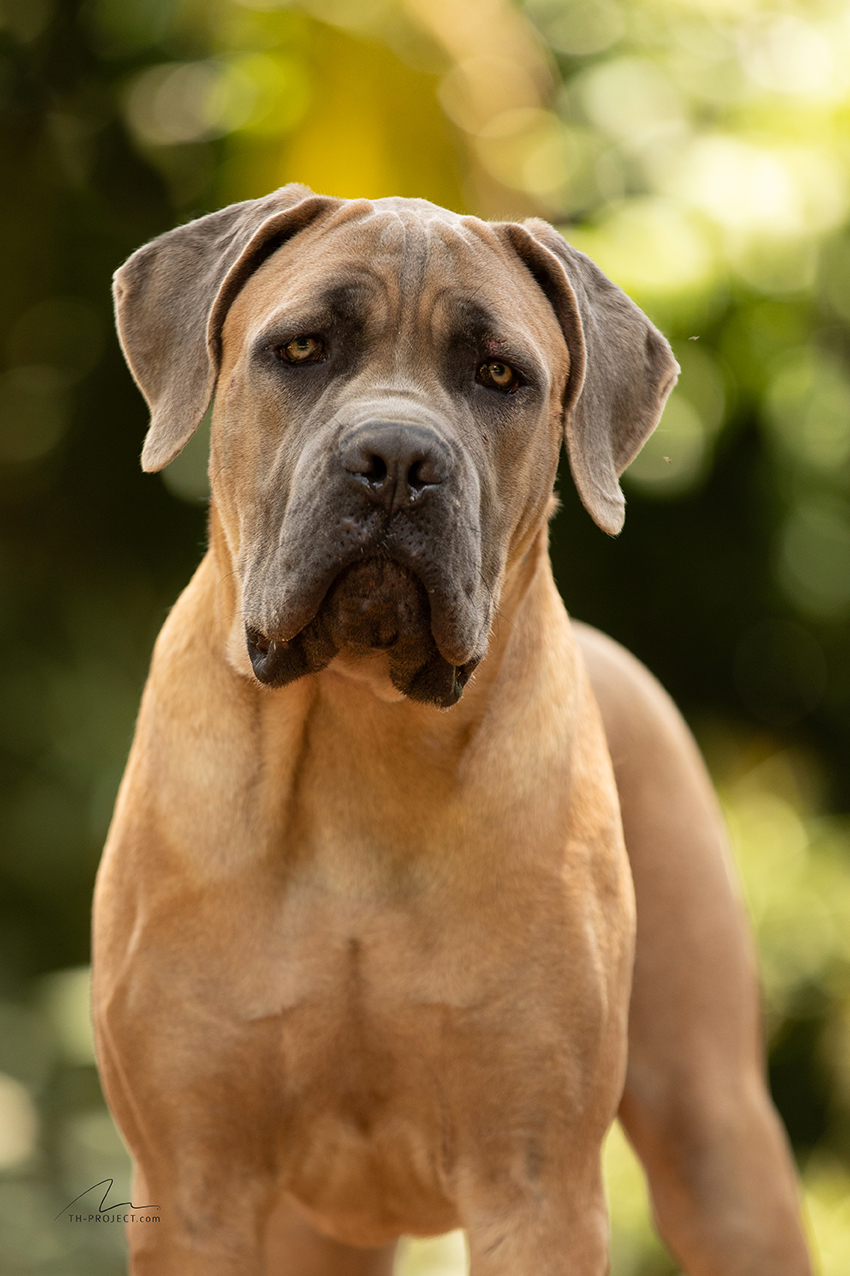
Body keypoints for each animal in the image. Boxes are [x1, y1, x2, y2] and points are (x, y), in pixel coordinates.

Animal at [93, 185, 812, 1275]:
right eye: (300, 348)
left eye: (500, 374)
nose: (397, 459)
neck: (357, 732)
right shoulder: (197, 1186)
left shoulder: (534, 1182)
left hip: (718, 1138)